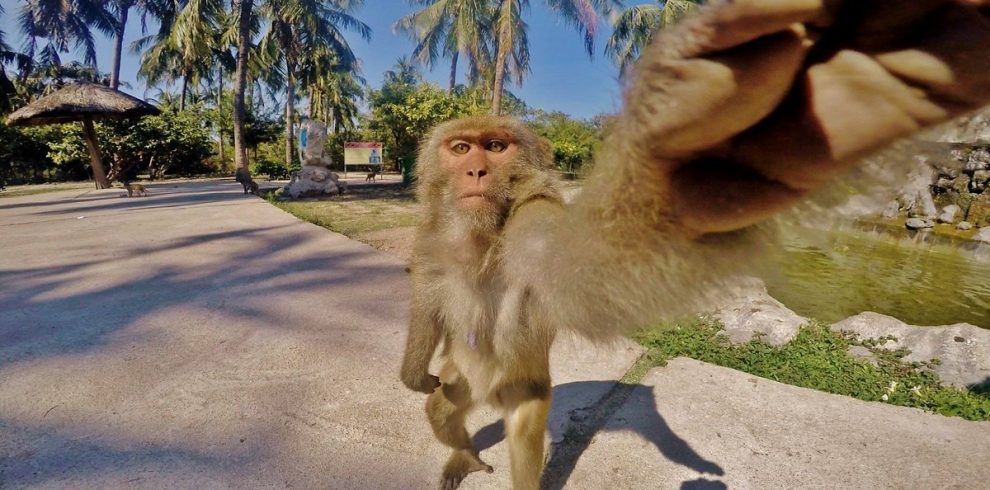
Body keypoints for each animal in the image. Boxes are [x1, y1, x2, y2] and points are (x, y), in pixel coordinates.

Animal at [400, 1, 990, 488]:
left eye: (495, 147)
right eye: (461, 149)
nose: (476, 170)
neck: (480, 234)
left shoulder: (532, 223)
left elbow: (586, 272)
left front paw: (682, 169)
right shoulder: (430, 238)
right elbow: (427, 304)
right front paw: (413, 374)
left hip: (522, 390)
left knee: (522, 439)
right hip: (464, 382)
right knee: (443, 410)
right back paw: (463, 452)